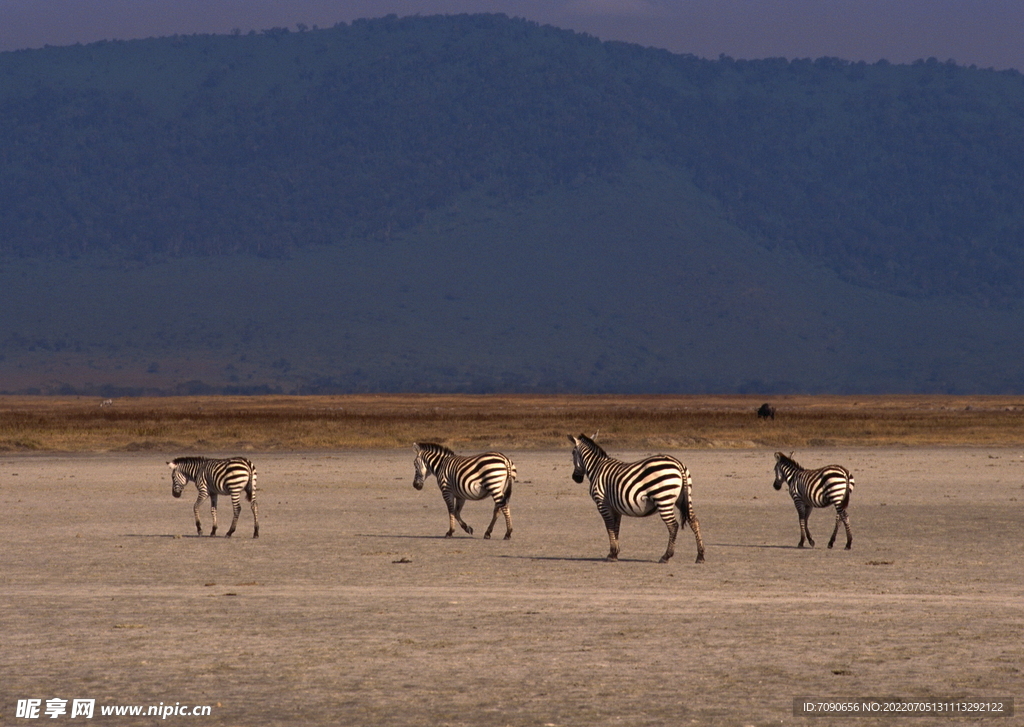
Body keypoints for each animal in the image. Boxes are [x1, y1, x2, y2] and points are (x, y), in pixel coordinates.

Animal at [569, 436, 704, 565]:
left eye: (573, 452)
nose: (575, 478)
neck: (597, 468)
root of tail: (678, 463)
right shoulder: (615, 507)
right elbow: (616, 527)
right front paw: (615, 553)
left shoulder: (602, 503)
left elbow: (609, 526)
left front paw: (611, 554)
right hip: (683, 498)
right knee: (694, 521)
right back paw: (700, 556)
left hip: (663, 498)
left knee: (673, 525)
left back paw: (666, 556)